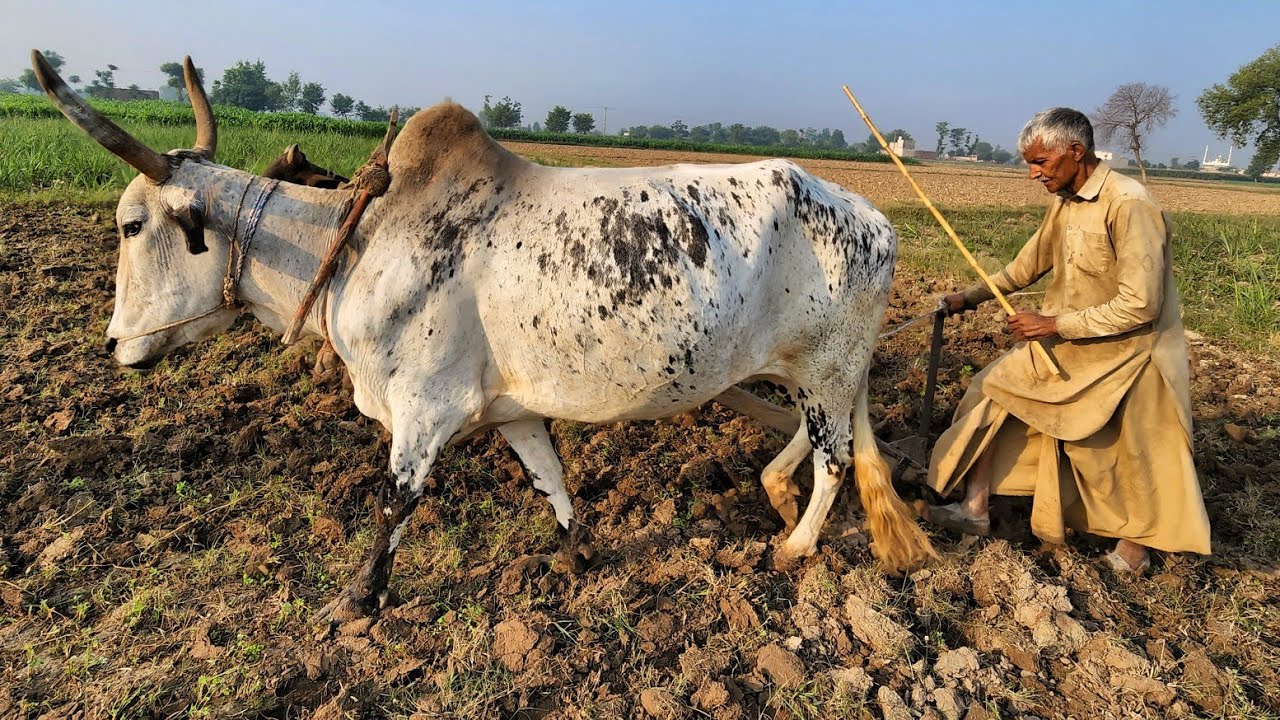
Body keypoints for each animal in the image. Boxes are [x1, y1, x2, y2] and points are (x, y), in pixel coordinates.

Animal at [31, 51, 935, 621]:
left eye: (132, 225)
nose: (113, 346)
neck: (357, 245)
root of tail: (874, 216)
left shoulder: (423, 411)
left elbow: (393, 505)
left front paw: (358, 604)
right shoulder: (512, 410)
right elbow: (553, 485)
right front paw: (577, 558)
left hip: (828, 367)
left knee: (834, 462)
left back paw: (796, 544)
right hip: (810, 370)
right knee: (819, 441)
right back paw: (773, 489)